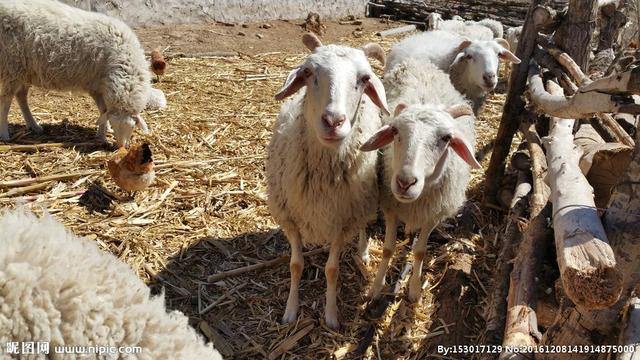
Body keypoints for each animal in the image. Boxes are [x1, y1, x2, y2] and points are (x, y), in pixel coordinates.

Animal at [0, 0, 165, 147]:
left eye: (132, 127)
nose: (121, 147)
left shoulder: (99, 86)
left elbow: (103, 111)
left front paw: (104, 129)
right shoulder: (96, 85)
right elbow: (103, 110)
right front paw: (102, 135)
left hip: (24, 70)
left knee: (21, 96)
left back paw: (34, 125)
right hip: (11, 66)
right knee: (6, 101)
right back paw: (4, 133)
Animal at [266, 33, 390, 330]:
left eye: (364, 79)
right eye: (308, 72)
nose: (333, 121)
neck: (322, 174)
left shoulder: (342, 222)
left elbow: (332, 270)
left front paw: (331, 314)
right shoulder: (289, 217)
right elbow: (295, 266)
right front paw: (290, 311)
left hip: (364, 199)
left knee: (364, 225)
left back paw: (363, 251)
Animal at [360, 59, 480, 300]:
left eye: (447, 138)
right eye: (395, 131)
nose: (405, 183)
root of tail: (419, 61)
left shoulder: (432, 214)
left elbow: (420, 252)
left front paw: (414, 290)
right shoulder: (391, 207)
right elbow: (388, 249)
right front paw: (376, 287)